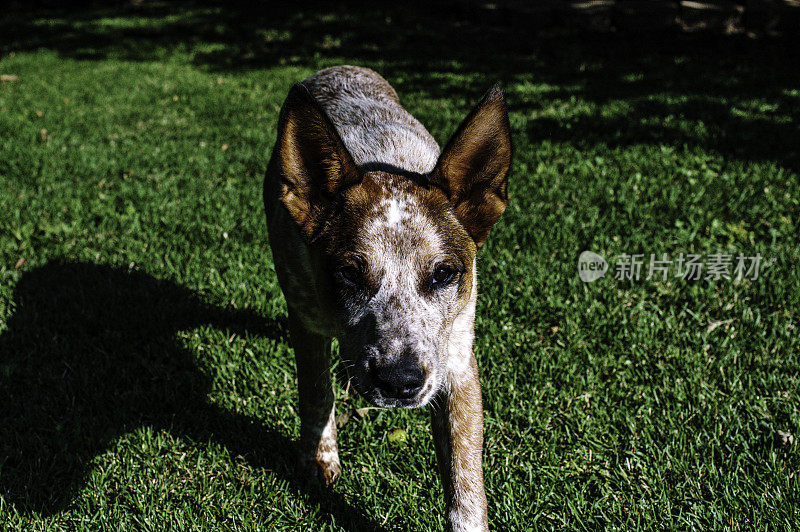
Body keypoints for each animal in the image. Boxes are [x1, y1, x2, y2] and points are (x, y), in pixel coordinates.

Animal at [264, 66, 512, 532]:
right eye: (349, 273)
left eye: (444, 274)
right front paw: (319, 458)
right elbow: (315, 392)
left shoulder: (456, 360)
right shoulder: (307, 321)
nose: (400, 381)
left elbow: (465, 487)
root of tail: (340, 67)